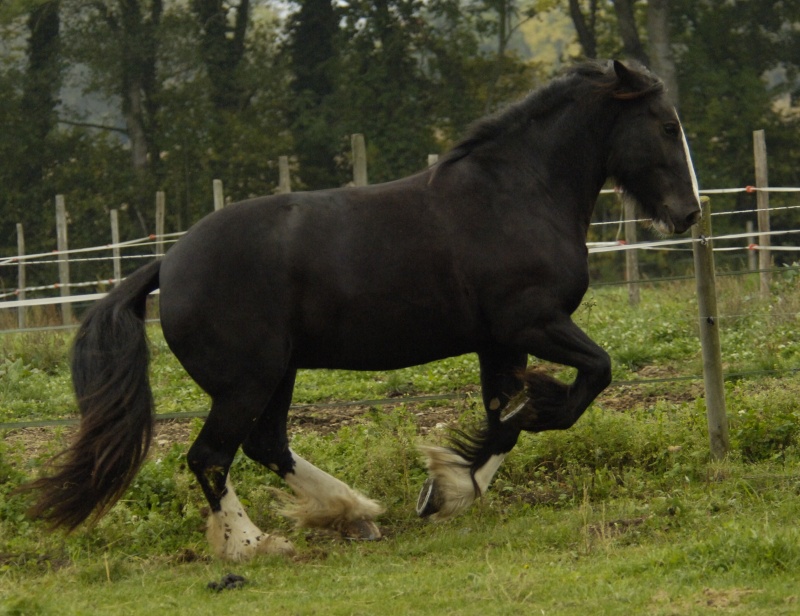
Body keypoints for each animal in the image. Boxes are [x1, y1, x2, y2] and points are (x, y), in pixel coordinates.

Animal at [25, 60, 700, 560]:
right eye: (667, 126)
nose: (689, 213)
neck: (516, 195)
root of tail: (169, 262)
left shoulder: (498, 341)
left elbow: (503, 421)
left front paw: (446, 491)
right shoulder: (532, 323)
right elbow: (590, 377)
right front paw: (531, 417)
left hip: (278, 375)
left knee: (266, 444)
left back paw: (352, 513)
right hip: (247, 381)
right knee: (210, 457)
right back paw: (254, 544)